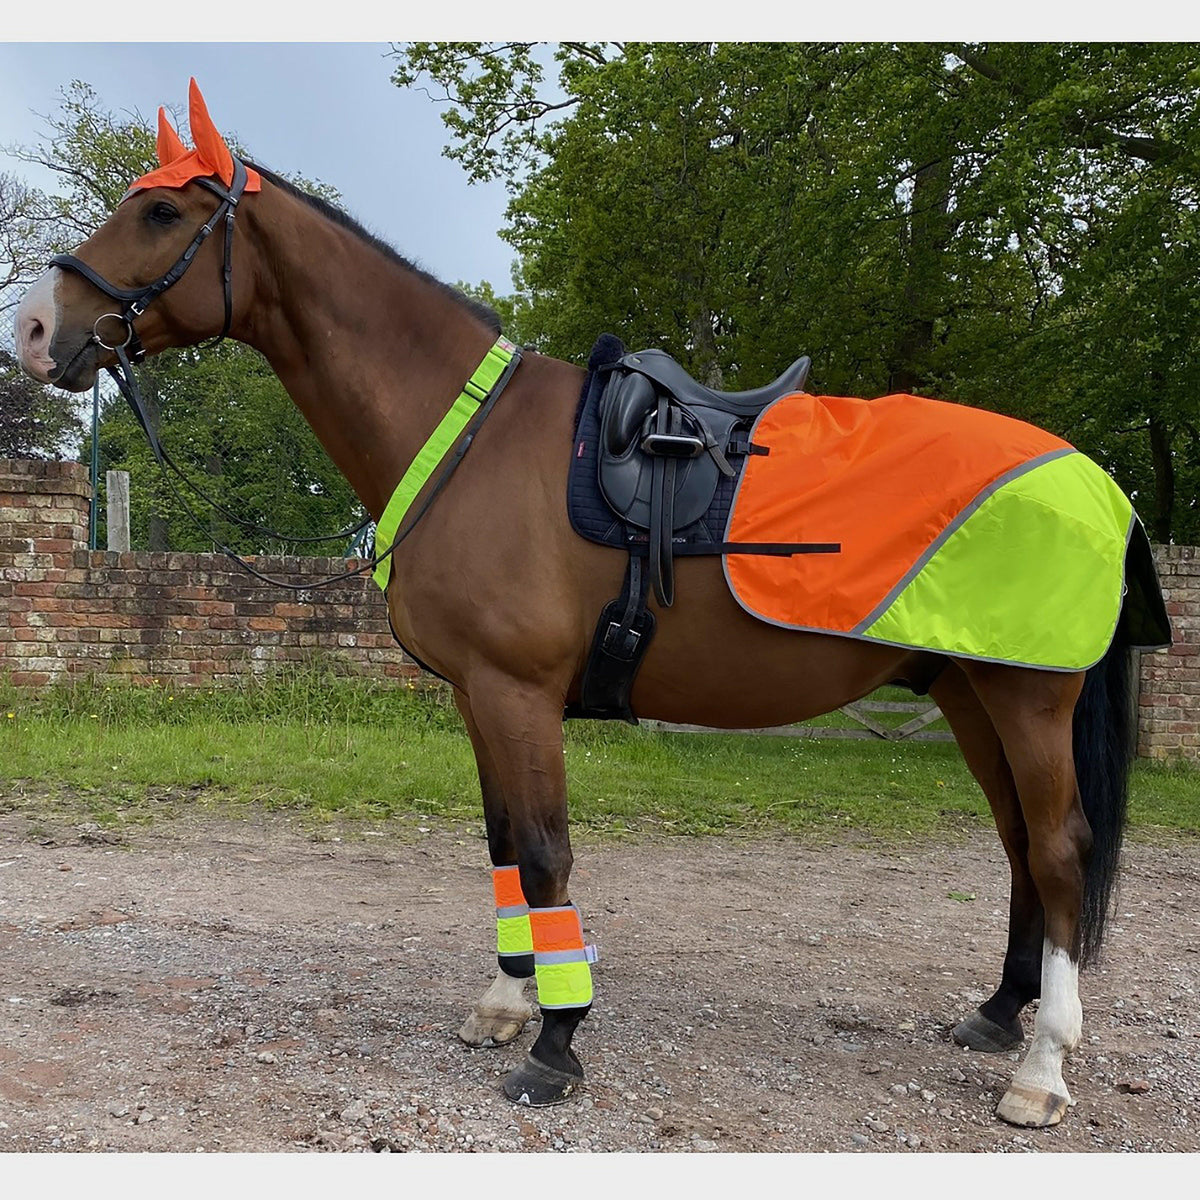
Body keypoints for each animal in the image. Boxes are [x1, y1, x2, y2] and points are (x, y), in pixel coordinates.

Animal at [14, 81, 1167, 1129]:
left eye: (163, 214)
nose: (31, 328)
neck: (469, 439)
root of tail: (1095, 482)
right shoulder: (479, 696)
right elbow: (501, 846)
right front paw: (504, 1003)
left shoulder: (519, 692)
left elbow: (546, 850)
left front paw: (557, 1046)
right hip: (970, 692)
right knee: (1020, 845)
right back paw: (1000, 1012)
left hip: (1027, 699)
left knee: (1060, 851)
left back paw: (1041, 1071)